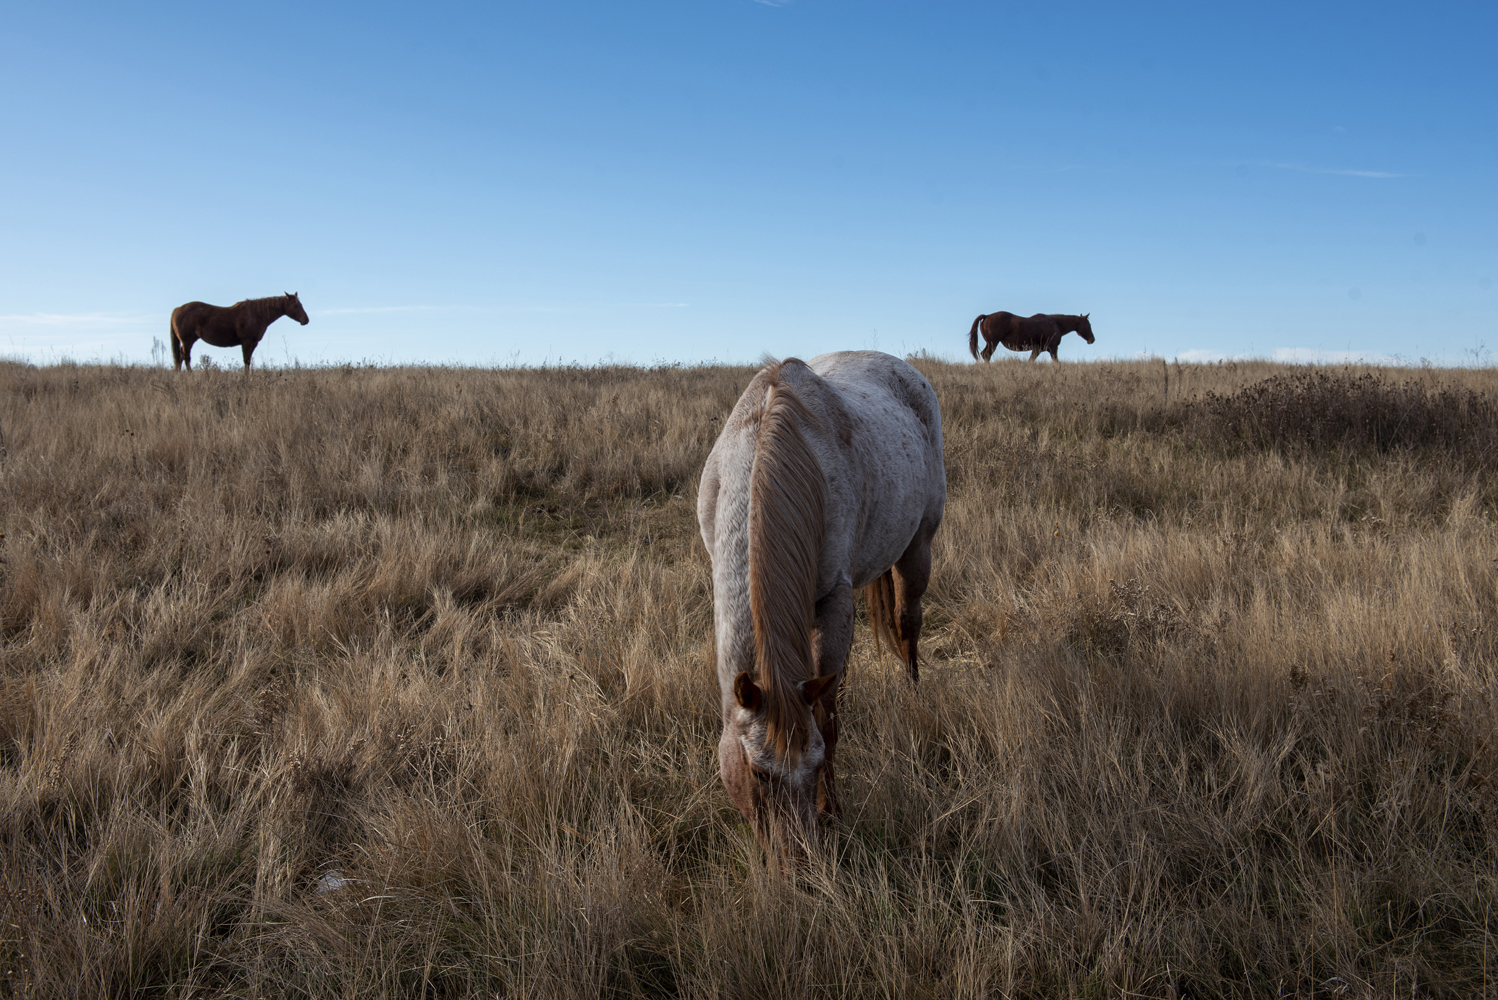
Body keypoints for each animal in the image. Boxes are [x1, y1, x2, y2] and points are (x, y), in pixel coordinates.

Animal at [170, 293, 309, 372]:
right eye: (296, 305)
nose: (306, 320)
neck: (257, 314)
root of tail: (177, 309)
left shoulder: (253, 343)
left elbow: (248, 360)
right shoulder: (246, 342)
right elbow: (246, 360)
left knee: (180, 358)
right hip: (187, 341)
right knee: (185, 357)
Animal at [697, 351, 946, 867]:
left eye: (813, 766)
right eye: (758, 773)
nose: (798, 864)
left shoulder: (835, 601)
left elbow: (828, 721)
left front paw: (833, 811)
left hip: (918, 548)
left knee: (907, 623)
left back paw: (914, 691)